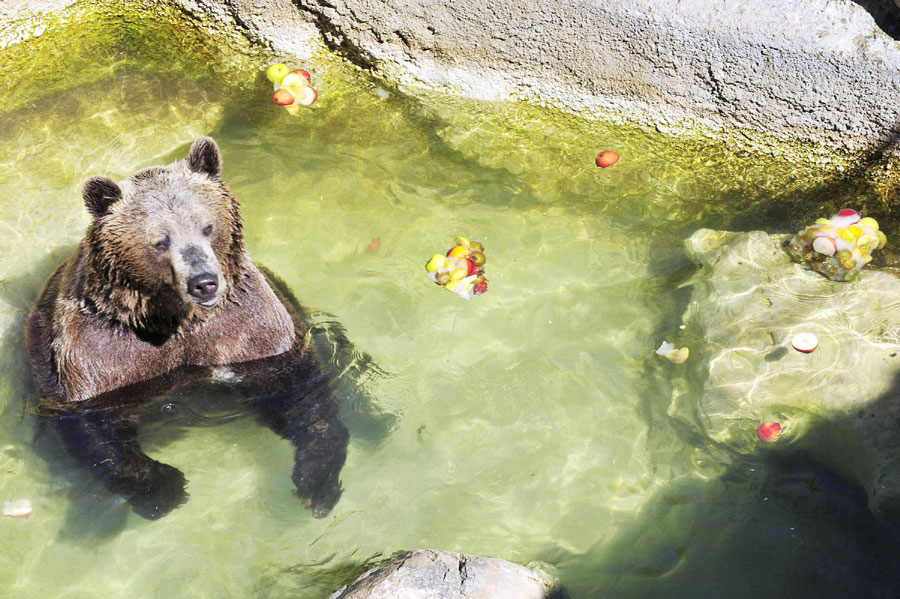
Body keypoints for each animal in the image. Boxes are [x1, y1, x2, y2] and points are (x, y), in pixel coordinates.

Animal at [26, 137, 350, 520]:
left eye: (206, 226)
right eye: (160, 241)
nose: (204, 282)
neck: (174, 318)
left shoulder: (249, 329)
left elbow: (298, 390)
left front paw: (316, 479)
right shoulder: (101, 354)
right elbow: (94, 427)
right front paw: (163, 485)